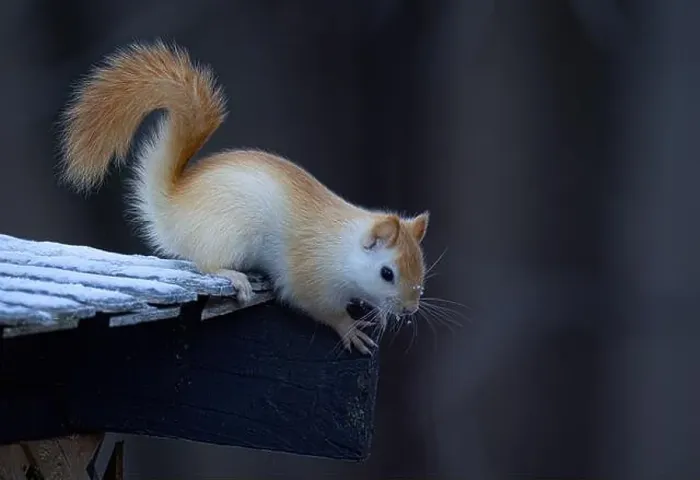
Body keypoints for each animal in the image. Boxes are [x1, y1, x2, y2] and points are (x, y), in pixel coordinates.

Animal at [57, 41, 430, 354]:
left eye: (421, 268)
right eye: (387, 273)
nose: (410, 308)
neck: (341, 245)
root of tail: (173, 207)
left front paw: (382, 316)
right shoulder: (309, 275)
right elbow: (314, 304)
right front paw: (349, 328)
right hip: (225, 236)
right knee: (205, 263)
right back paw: (234, 276)